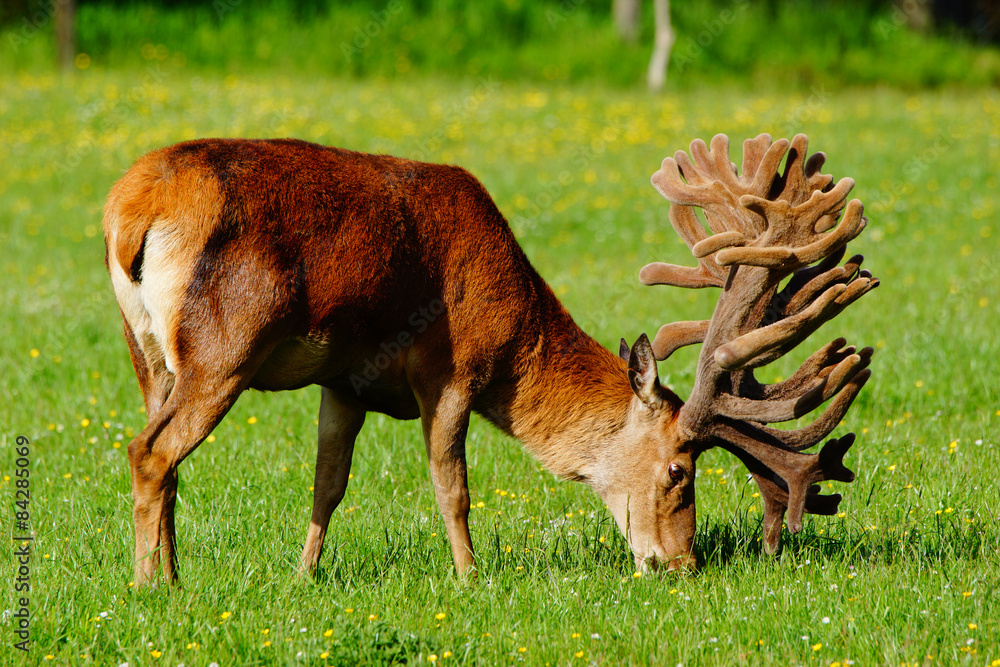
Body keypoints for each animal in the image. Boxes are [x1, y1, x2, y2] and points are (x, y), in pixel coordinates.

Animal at [103, 132, 876, 584]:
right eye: (679, 471)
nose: (679, 563)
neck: (515, 337)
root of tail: (129, 212)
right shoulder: (453, 368)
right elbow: (454, 486)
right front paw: (472, 578)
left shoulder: (344, 381)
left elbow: (328, 483)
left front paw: (304, 576)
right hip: (225, 343)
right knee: (151, 450)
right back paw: (147, 587)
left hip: (147, 350)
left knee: (165, 457)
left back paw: (174, 577)